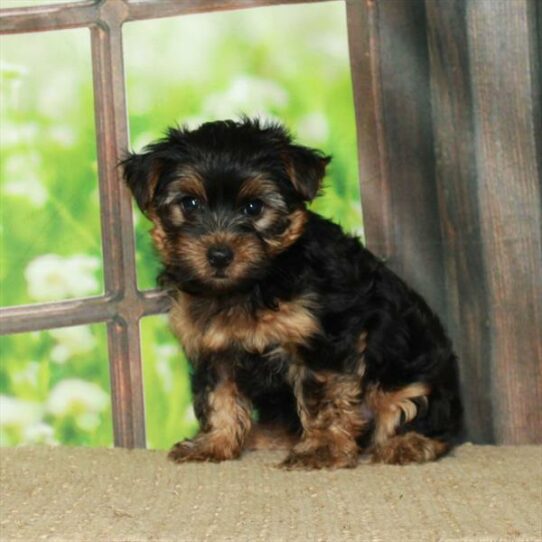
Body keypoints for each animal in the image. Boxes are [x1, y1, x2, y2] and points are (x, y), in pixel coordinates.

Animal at [123, 119, 464, 472]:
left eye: (253, 207)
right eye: (190, 204)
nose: (219, 255)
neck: (253, 284)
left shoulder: (323, 339)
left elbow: (324, 397)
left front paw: (322, 449)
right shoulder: (213, 347)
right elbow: (218, 396)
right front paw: (214, 443)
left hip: (409, 378)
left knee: (414, 410)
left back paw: (408, 443)